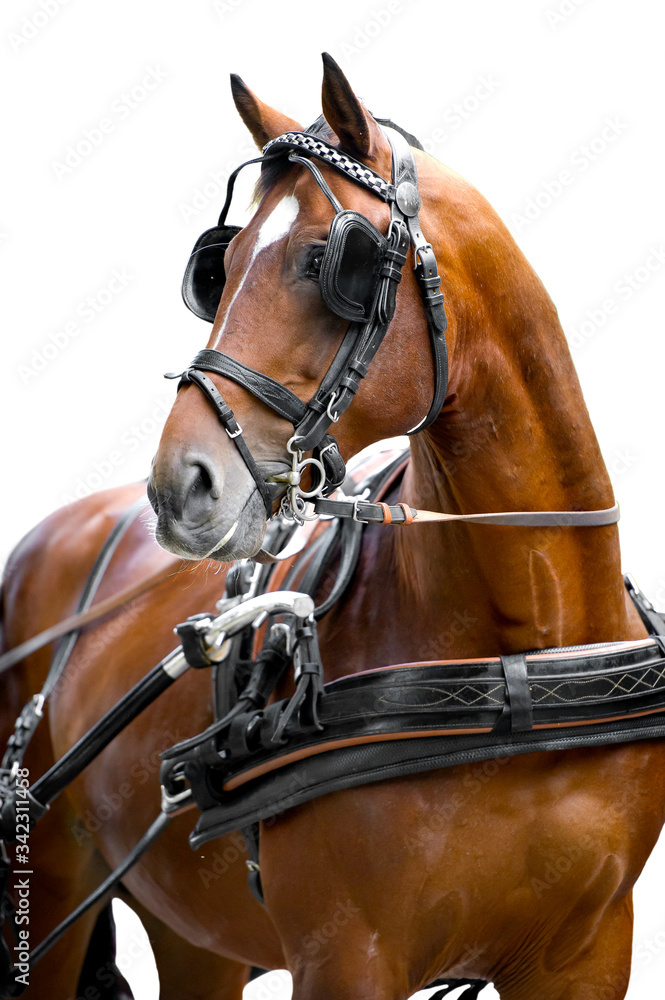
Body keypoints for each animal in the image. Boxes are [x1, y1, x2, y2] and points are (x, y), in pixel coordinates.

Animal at [2, 52, 664, 1000]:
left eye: (327, 259)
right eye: (220, 266)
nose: (178, 488)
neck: (520, 655)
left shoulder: (590, 952)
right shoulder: (345, 956)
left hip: (196, 934)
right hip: (53, 887)